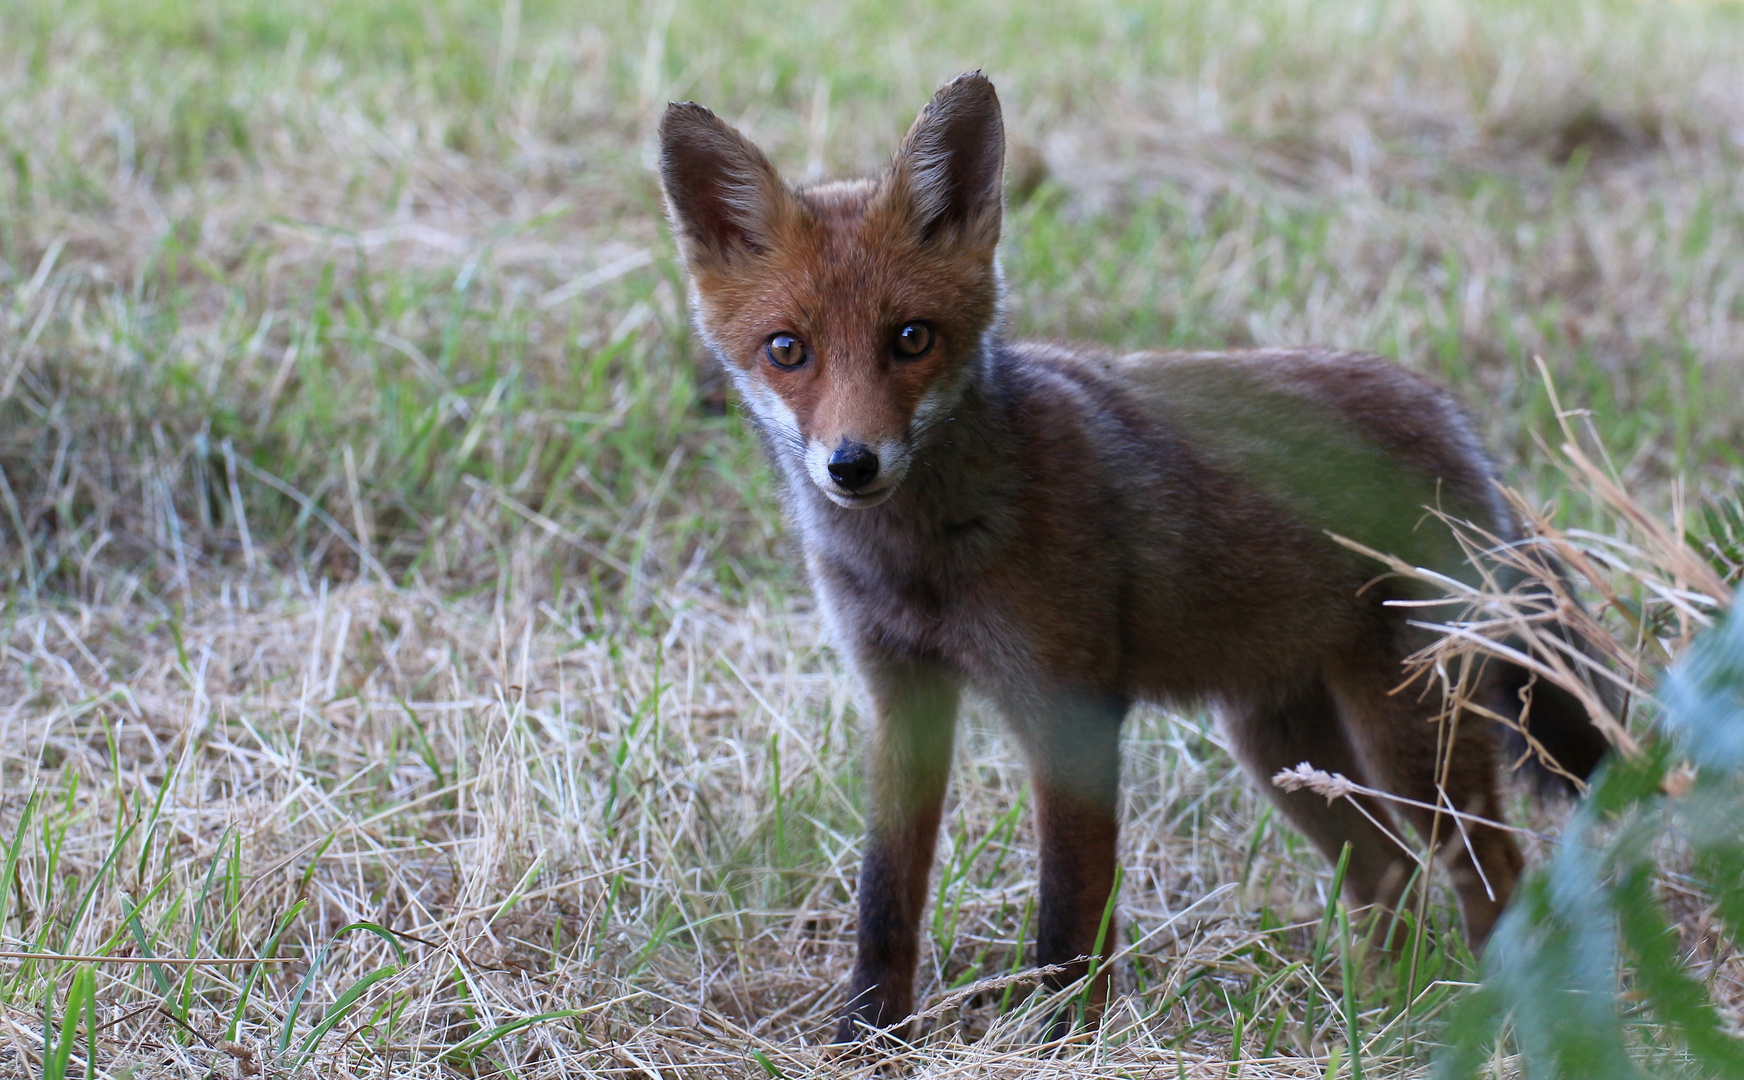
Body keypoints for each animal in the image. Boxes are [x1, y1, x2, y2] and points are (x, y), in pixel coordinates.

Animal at [655, 69, 1604, 1046]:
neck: (923, 567)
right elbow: (885, 902)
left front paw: (1066, 1041)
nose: (852, 465)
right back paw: (1382, 1009)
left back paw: (1494, 1011)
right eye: (787, 350)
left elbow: (1070, 919)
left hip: (1411, 737)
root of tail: (1453, 419)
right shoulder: (901, 701)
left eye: (912, 338)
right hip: (1280, 746)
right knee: (1390, 874)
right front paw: (867, 1038)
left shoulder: (1070, 713)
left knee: (1491, 873)